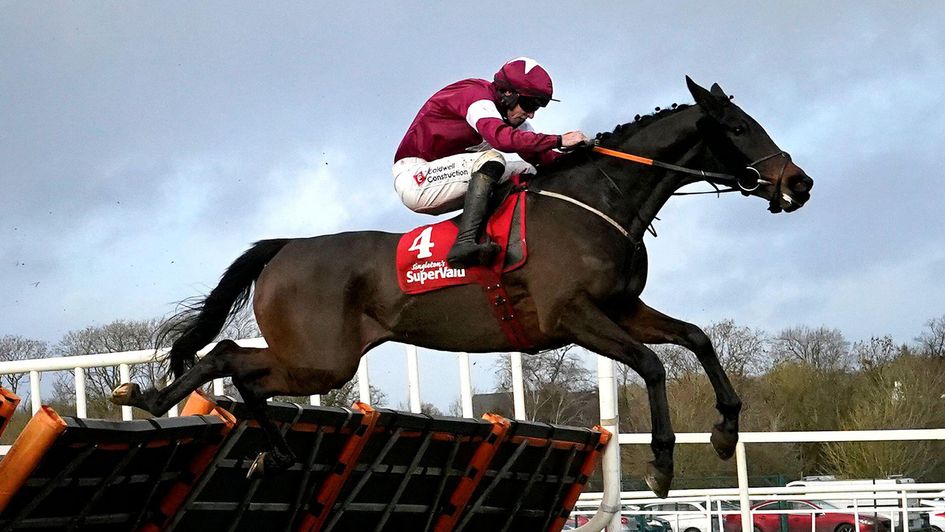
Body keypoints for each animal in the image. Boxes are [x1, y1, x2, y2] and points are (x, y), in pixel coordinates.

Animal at [114, 77, 816, 496]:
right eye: (741, 128)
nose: (799, 183)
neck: (596, 202)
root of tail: (285, 248)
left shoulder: (622, 306)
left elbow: (695, 338)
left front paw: (725, 431)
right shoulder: (574, 316)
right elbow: (651, 364)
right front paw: (665, 463)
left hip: (317, 357)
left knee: (239, 366)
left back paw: (274, 452)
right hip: (320, 358)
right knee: (228, 359)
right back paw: (150, 397)